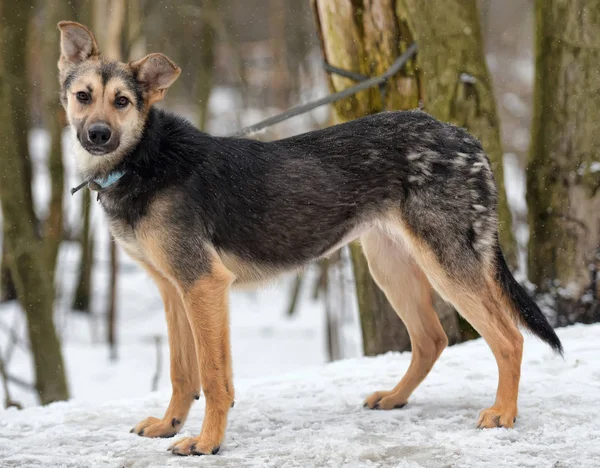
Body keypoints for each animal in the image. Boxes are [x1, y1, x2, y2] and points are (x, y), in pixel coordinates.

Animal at [57, 20, 564, 456]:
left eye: (123, 102)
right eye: (83, 96)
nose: (97, 135)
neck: (144, 159)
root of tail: (465, 138)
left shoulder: (203, 285)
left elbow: (215, 378)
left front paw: (206, 442)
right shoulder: (173, 288)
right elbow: (183, 374)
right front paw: (169, 425)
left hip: (446, 263)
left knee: (509, 339)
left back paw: (503, 414)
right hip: (390, 266)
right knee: (431, 339)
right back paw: (395, 397)